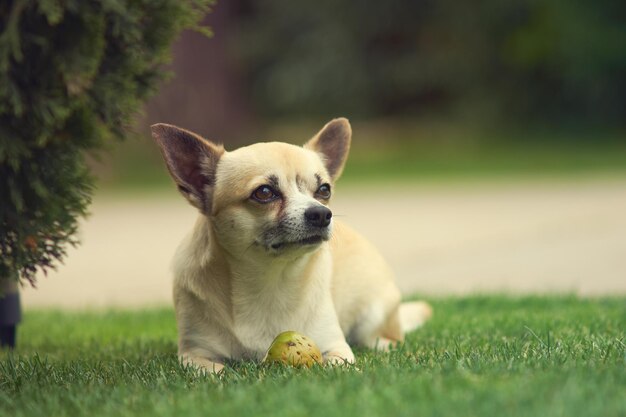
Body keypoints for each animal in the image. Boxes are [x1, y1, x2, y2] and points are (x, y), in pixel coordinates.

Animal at [151, 118, 428, 372]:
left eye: (324, 190)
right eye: (264, 192)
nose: (322, 213)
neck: (270, 281)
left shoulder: (336, 348)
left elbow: (335, 364)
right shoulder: (194, 354)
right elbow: (216, 372)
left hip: (374, 315)